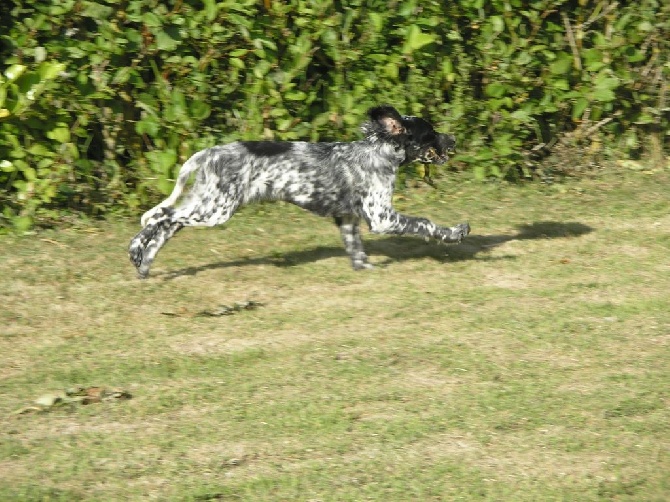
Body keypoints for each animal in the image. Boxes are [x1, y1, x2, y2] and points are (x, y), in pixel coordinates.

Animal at [129, 106, 470, 278]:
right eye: (431, 133)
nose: (454, 139)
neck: (377, 152)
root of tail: (208, 153)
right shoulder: (381, 217)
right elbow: (425, 222)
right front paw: (455, 232)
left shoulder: (348, 219)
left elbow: (357, 251)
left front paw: (366, 269)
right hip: (215, 210)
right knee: (161, 218)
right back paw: (135, 250)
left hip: (206, 204)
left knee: (166, 222)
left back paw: (144, 264)